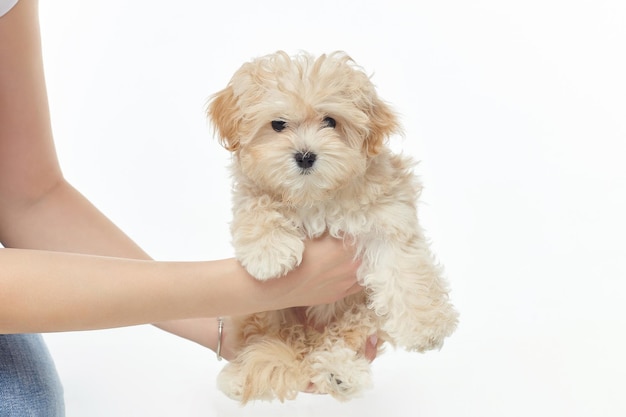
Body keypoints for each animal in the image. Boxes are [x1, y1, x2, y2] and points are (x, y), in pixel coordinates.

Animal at [207, 50, 456, 402]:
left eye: (330, 121)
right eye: (278, 124)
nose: (305, 156)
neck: (316, 197)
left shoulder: (388, 216)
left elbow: (406, 270)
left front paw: (426, 327)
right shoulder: (254, 189)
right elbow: (258, 205)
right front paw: (269, 254)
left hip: (362, 311)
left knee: (344, 336)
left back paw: (339, 372)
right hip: (264, 311)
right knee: (269, 339)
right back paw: (241, 375)